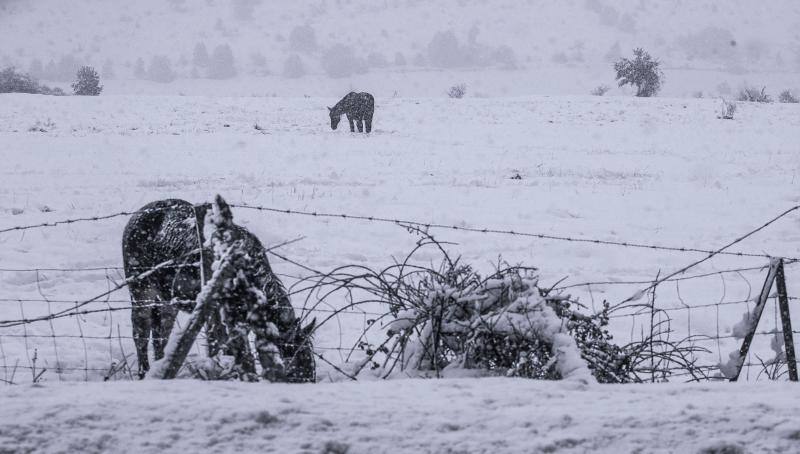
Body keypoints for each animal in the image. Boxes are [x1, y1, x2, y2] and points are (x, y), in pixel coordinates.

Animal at [122, 198, 316, 380]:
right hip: (141, 291)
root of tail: (136, 215)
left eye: (310, 357)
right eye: (292, 359)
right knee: (140, 333)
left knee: (160, 335)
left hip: (167, 301)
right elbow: (222, 347)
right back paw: (144, 372)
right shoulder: (215, 314)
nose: (308, 380)